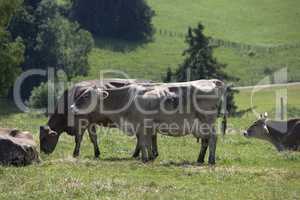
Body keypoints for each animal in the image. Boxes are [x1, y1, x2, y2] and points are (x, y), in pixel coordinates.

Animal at [70, 78, 225, 164]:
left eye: (85, 96)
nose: (71, 107)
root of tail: (211, 81)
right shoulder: (146, 126)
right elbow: (148, 143)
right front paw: (149, 157)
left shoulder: (142, 125)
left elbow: (144, 143)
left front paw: (144, 158)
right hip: (200, 125)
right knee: (205, 141)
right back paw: (200, 159)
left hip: (207, 121)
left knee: (213, 138)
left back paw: (211, 160)